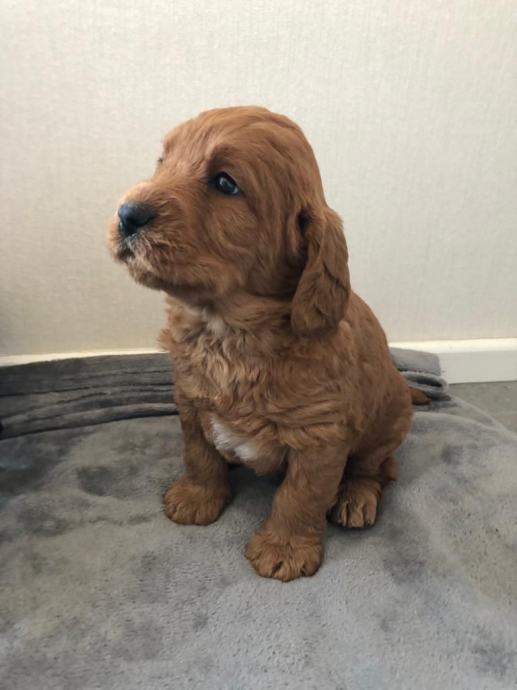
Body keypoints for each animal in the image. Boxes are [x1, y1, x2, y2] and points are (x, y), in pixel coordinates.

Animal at [107, 106, 413, 581]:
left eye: (225, 183)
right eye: (162, 162)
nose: (127, 214)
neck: (228, 332)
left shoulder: (321, 437)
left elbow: (301, 494)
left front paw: (284, 548)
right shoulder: (189, 399)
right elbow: (198, 453)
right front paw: (197, 498)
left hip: (389, 419)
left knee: (377, 468)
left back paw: (355, 496)